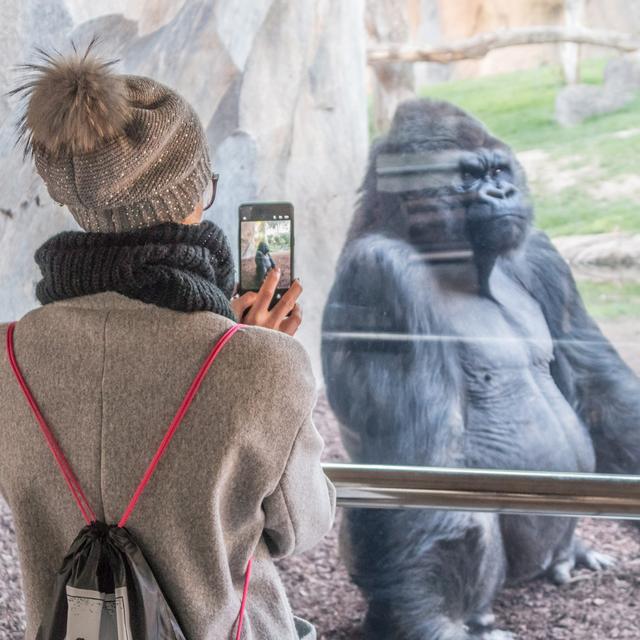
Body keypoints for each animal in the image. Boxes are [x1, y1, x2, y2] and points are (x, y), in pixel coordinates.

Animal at [322, 99, 640, 640]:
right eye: (469, 177)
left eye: (498, 171)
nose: (502, 192)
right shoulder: (380, 273)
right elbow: (425, 470)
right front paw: (426, 622)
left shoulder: (542, 254)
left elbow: (602, 394)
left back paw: (572, 553)